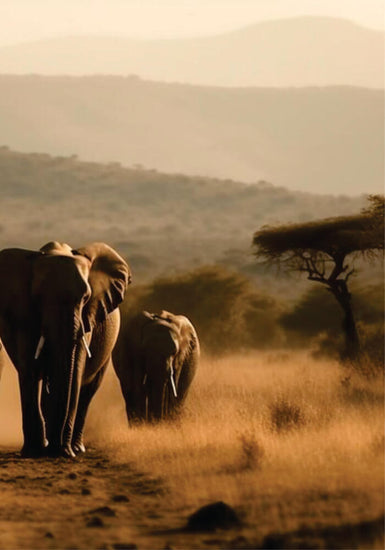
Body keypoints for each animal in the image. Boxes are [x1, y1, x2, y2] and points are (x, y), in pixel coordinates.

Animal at [0, 244, 130, 460]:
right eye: (38, 298)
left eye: (85, 298)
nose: (59, 450)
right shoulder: (24, 316)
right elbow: (30, 370)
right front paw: (32, 452)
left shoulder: (87, 316)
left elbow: (75, 371)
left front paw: (63, 452)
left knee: (87, 392)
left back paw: (76, 448)